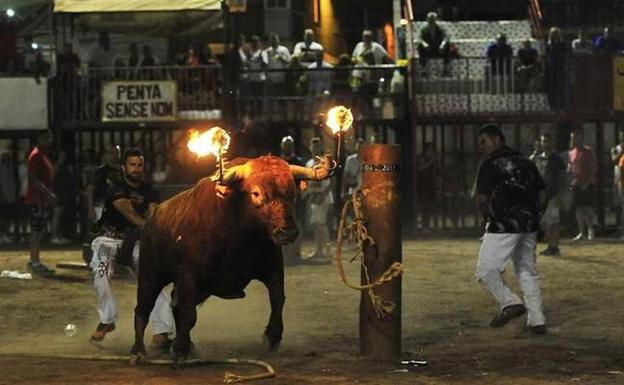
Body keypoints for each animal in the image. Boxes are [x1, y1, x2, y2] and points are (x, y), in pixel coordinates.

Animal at [129, 154, 334, 364]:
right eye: (256, 193)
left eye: (292, 193)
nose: (287, 232)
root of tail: (151, 219)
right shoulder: (189, 275)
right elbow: (189, 315)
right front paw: (179, 350)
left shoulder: (273, 267)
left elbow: (277, 299)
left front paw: (272, 336)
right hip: (150, 275)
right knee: (143, 310)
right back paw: (138, 351)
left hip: (203, 288)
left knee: (175, 304)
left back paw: (188, 346)